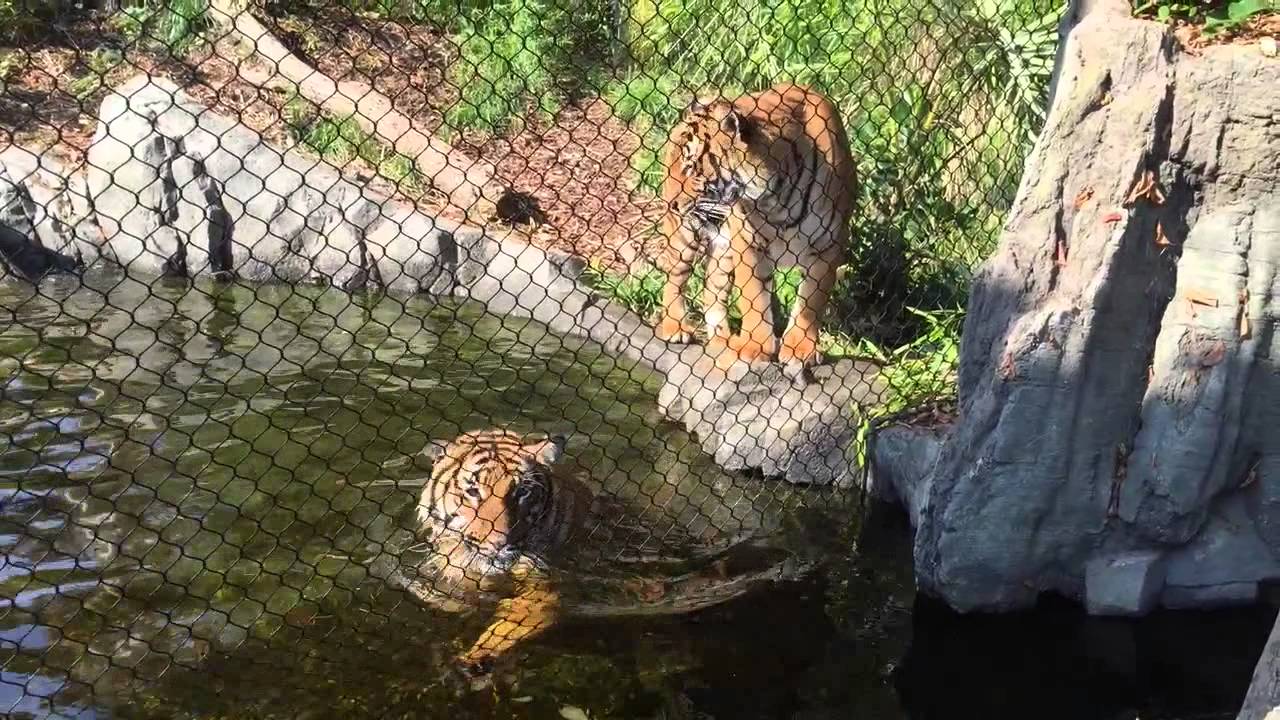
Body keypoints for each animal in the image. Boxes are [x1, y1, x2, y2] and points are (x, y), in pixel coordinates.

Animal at [653, 83, 857, 372]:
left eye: (692, 168)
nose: (672, 204)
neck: (774, 197)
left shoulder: (830, 242)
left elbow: (810, 301)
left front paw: (799, 349)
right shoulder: (747, 240)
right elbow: (754, 298)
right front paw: (754, 347)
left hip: (722, 242)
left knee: (711, 289)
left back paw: (723, 340)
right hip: (685, 235)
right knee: (675, 277)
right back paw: (676, 327)